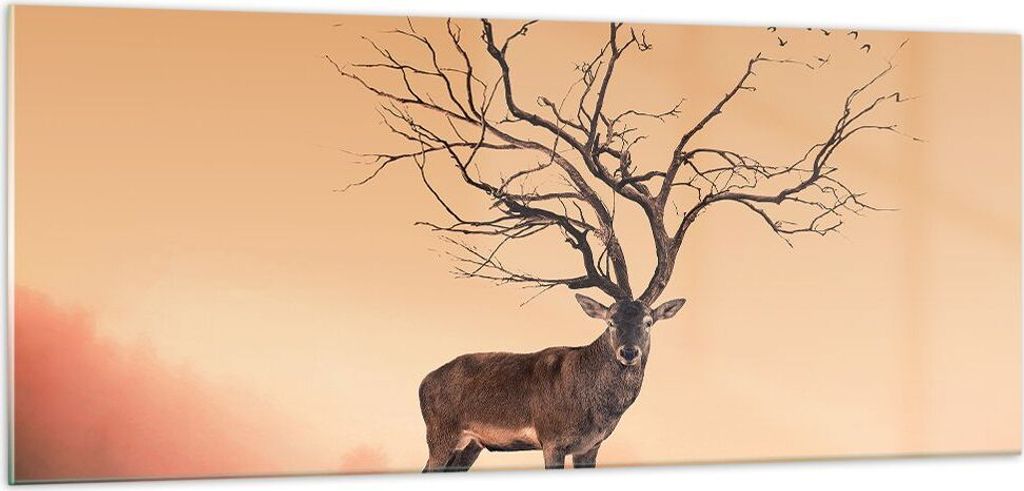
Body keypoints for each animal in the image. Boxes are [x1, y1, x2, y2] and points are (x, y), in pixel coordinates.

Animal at [418, 294, 685, 471]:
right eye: (610, 322)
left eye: (648, 322)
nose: (629, 352)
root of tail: (423, 382)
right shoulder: (551, 439)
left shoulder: (590, 446)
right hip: (440, 434)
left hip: (470, 445)